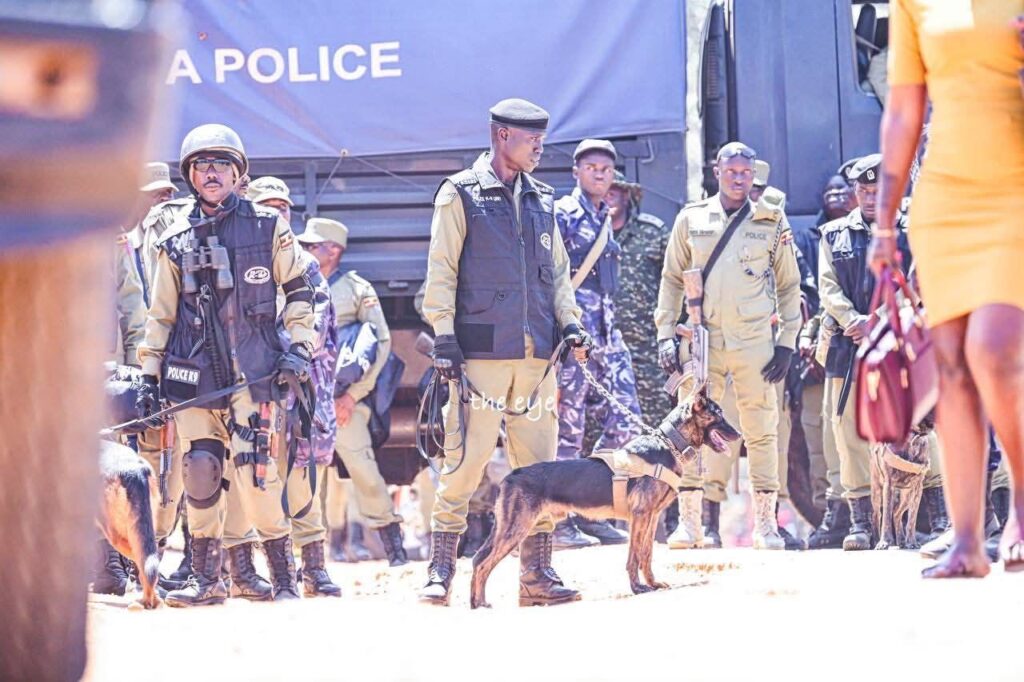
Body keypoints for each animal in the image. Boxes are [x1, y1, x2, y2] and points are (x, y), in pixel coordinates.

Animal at [470, 388, 740, 608]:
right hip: (515, 528)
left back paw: (477, 601)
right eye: (718, 414)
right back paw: (480, 604)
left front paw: (652, 583)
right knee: (482, 564)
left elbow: (646, 555)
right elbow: (634, 556)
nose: (738, 434)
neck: (668, 444)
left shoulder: (651, 518)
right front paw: (637, 588)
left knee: (478, 560)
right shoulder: (640, 517)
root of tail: (510, 476)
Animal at [871, 412, 935, 550]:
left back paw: (901, 541)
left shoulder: (917, 488)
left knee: (896, 513)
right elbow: (886, 518)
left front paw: (911, 542)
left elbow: (912, 519)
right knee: (877, 515)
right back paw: (876, 540)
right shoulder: (888, 484)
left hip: (906, 497)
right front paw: (884, 542)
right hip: (877, 491)